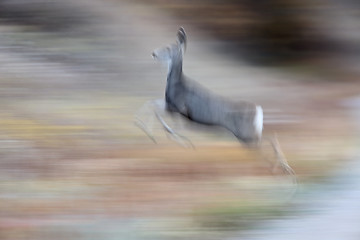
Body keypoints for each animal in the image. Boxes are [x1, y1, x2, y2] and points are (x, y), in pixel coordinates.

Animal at [134, 26, 296, 191]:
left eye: (168, 47)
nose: (153, 53)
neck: (176, 83)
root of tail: (258, 110)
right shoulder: (173, 108)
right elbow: (153, 106)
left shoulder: (178, 107)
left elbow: (157, 111)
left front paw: (154, 133)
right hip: (248, 134)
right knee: (270, 137)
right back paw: (286, 170)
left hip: (246, 134)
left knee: (266, 145)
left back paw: (281, 174)